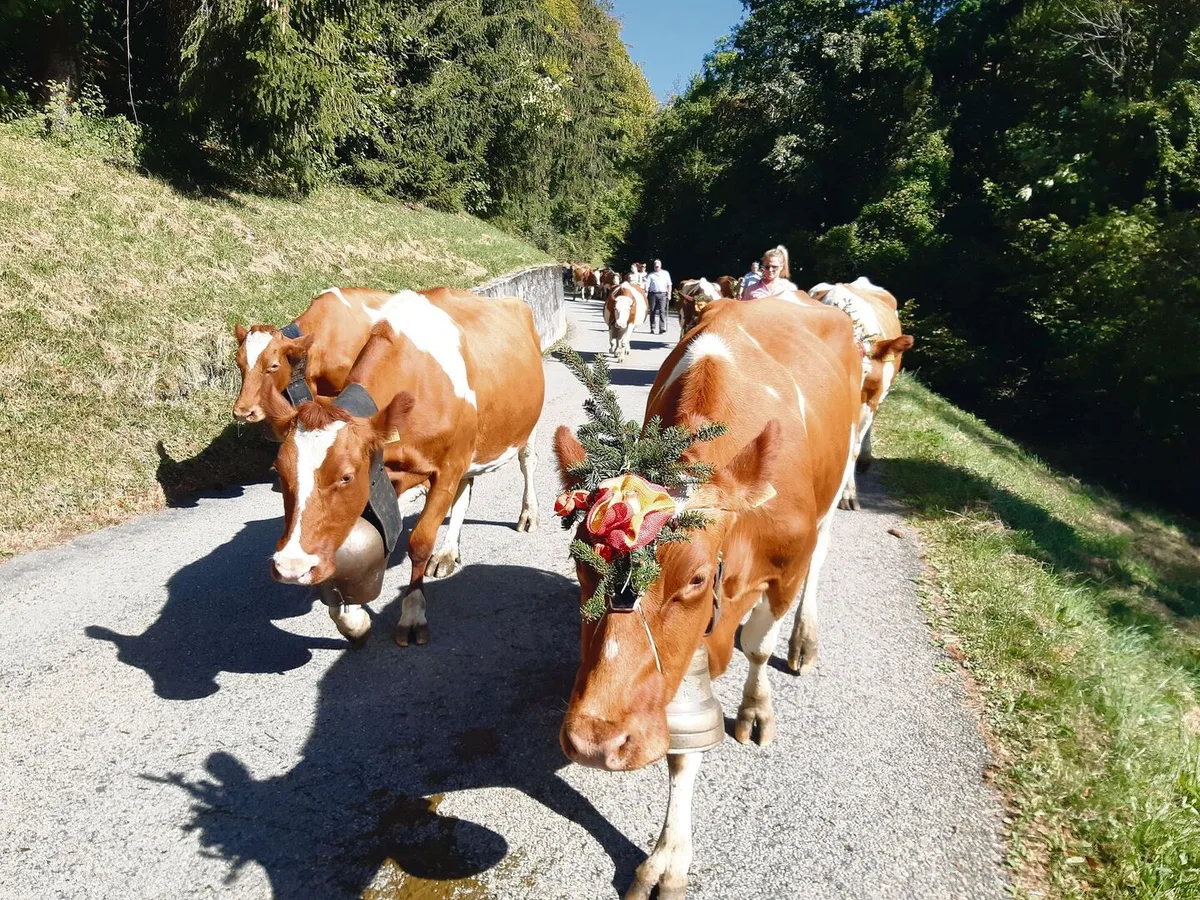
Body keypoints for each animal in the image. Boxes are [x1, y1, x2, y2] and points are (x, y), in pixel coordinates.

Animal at [269, 287, 545, 647]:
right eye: (279, 471)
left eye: (346, 476)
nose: (291, 566)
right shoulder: (389, 477)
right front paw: (352, 621)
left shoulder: (447, 466)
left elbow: (419, 543)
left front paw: (412, 614)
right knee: (465, 489)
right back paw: (448, 552)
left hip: (527, 425)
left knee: (527, 463)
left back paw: (528, 514)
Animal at [554, 295, 861, 900]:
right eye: (580, 562)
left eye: (695, 579)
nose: (596, 742)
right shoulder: (679, 663)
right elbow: (681, 746)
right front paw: (669, 855)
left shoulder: (785, 566)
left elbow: (760, 647)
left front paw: (757, 708)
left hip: (837, 488)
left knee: (821, 559)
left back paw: (804, 639)